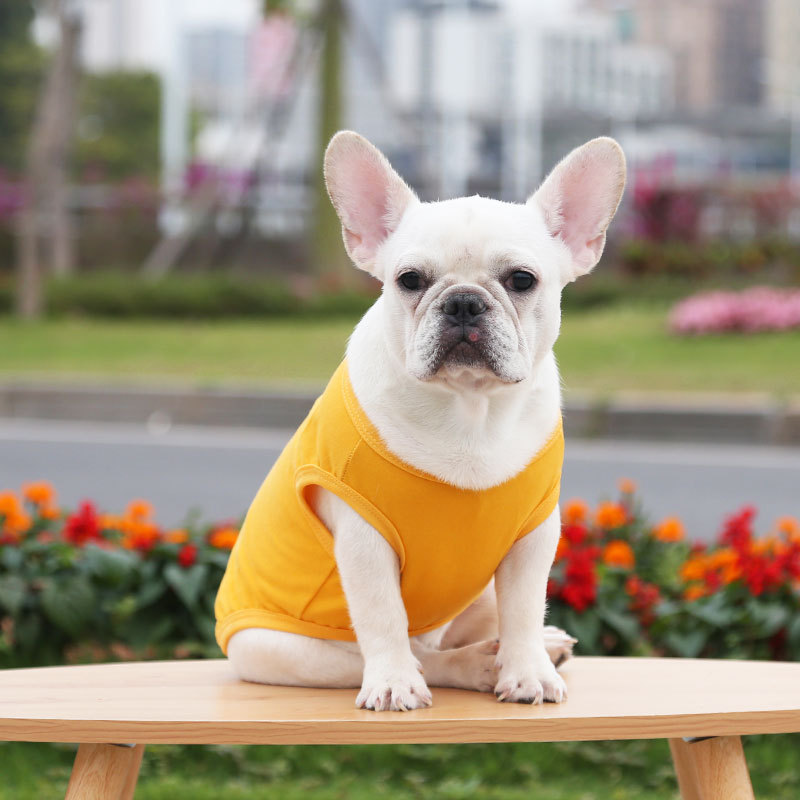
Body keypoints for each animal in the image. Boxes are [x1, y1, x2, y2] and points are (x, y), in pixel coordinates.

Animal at [216, 131, 628, 712]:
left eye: (522, 280)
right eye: (409, 280)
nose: (463, 303)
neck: (469, 410)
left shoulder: (534, 535)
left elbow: (525, 607)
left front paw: (529, 669)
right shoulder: (363, 542)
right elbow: (383, 615)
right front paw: (393, 683)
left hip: (474, 595)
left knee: (481, 625)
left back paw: (539, 648)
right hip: (281, 650)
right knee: (420, 656)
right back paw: (468, 665)